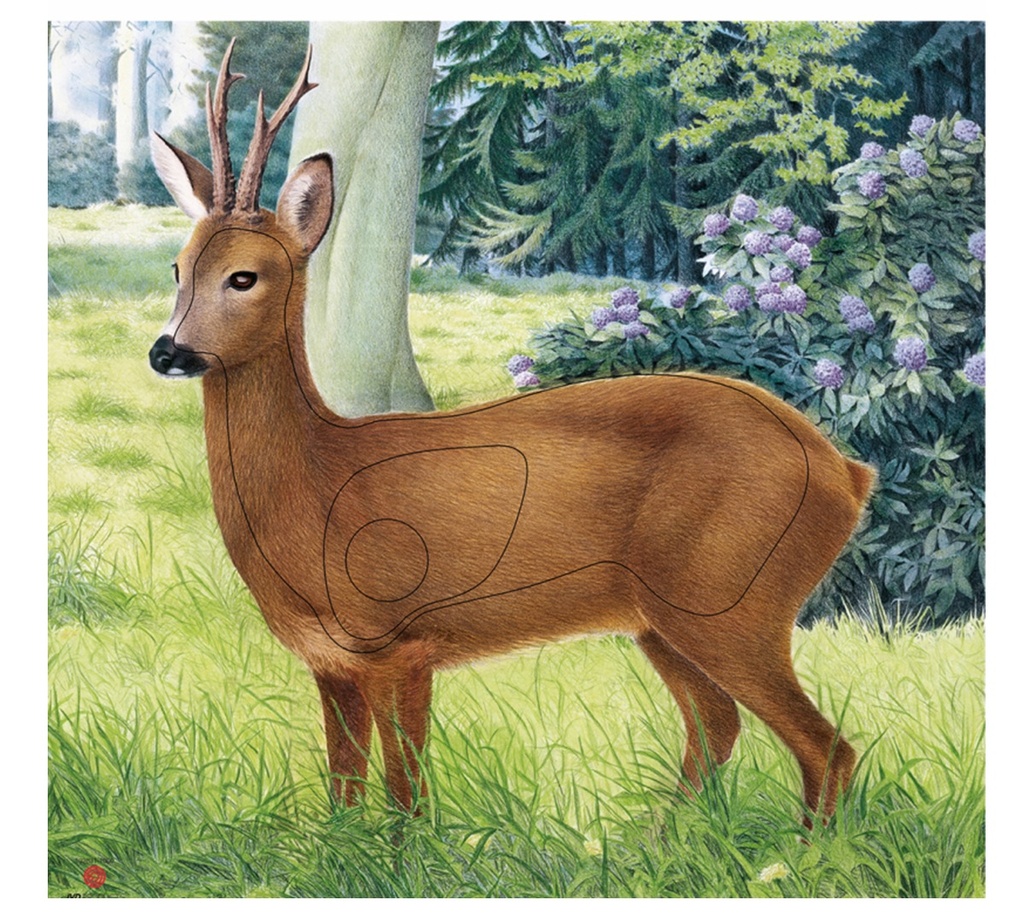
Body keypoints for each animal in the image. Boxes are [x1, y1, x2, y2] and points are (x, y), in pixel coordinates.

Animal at [148, 40, 875, 823]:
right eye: (179, 267)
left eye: (244, 276)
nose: (166, 351)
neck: (316, 484)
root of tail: (846, 472)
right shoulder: (331, 660)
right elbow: (343, 790)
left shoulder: (402, 640)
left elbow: (405, 794)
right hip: (667, 618)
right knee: (719, 724)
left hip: (734, 596)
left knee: (826, 745)